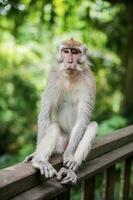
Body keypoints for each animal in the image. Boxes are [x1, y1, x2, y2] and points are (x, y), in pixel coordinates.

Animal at [24, 37, 98, 184]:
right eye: (66, 51)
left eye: (75, 52)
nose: (69, 61)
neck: (70, 75)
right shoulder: (53, 77)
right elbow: (45, 114)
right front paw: (35, 154)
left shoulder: (89, 80)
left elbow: (83, 118)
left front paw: (69, 155)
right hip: (59, 145)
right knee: (54, 127)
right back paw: (39, 161)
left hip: (70, 142)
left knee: (92, 126)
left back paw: (71, 168)